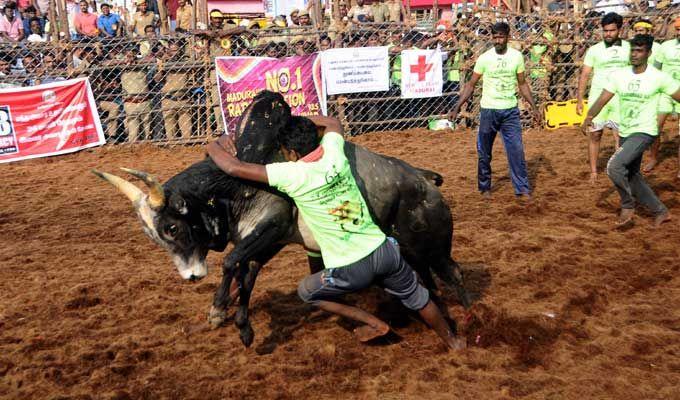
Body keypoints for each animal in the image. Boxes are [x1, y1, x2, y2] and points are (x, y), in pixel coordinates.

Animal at [93, 90, 470, 346]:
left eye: (172, 227)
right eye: (154, 236)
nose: (191, 276)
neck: (234, 184)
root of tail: (424, 180)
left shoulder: (270, 226)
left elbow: (232, 262)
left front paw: (219, 310)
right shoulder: (267, 239)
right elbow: (247, 272)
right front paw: (241, 325)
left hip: (429, 244)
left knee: (453, 272)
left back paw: (467, 320)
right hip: (412, 252)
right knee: (427, 282)